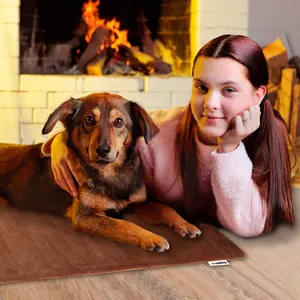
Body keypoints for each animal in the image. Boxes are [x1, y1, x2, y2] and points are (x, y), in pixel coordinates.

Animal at [0, 93, 202, 251]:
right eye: (89, 119)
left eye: (119, 122)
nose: (103, 150)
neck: (112, 174)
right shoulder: (85, 216)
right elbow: (125, 224)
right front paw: (151, 237)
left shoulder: (139, 204)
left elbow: (164, 207)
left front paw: (185, 224)